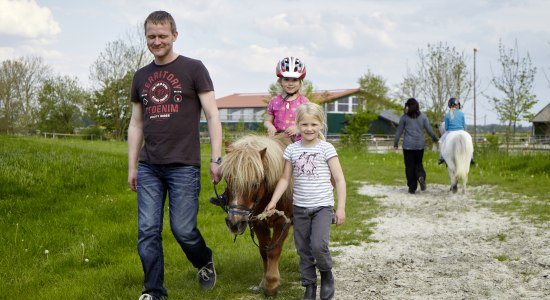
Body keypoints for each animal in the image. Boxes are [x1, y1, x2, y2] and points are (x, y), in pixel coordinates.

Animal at [219, 134, 294, 296]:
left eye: (254, 184)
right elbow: (264, 250)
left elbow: (273, 251)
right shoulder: (257, 222)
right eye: (227, 180)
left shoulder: (283, 222)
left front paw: (272, 284)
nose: (234, 223)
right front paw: (264, 282)